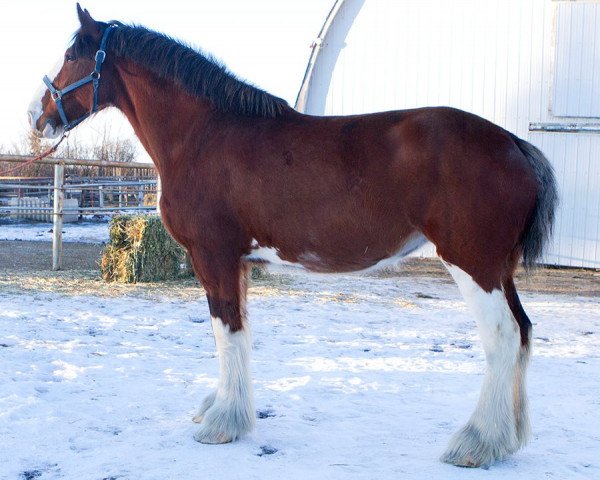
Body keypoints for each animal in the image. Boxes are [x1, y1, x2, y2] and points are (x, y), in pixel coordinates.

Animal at [29, 4, 556, 468]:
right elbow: (239, 331)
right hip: (499, 269)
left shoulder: (213, 256)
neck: (203, 134)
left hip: (473, 264)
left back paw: (476, 443)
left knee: (503, 336)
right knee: (524, 333)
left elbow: (226, 332)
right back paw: (509, 439)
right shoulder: (238, 261)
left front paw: (222, 424)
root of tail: (514, 144)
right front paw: (224, 408)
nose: (37, 116)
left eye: (72, 53)